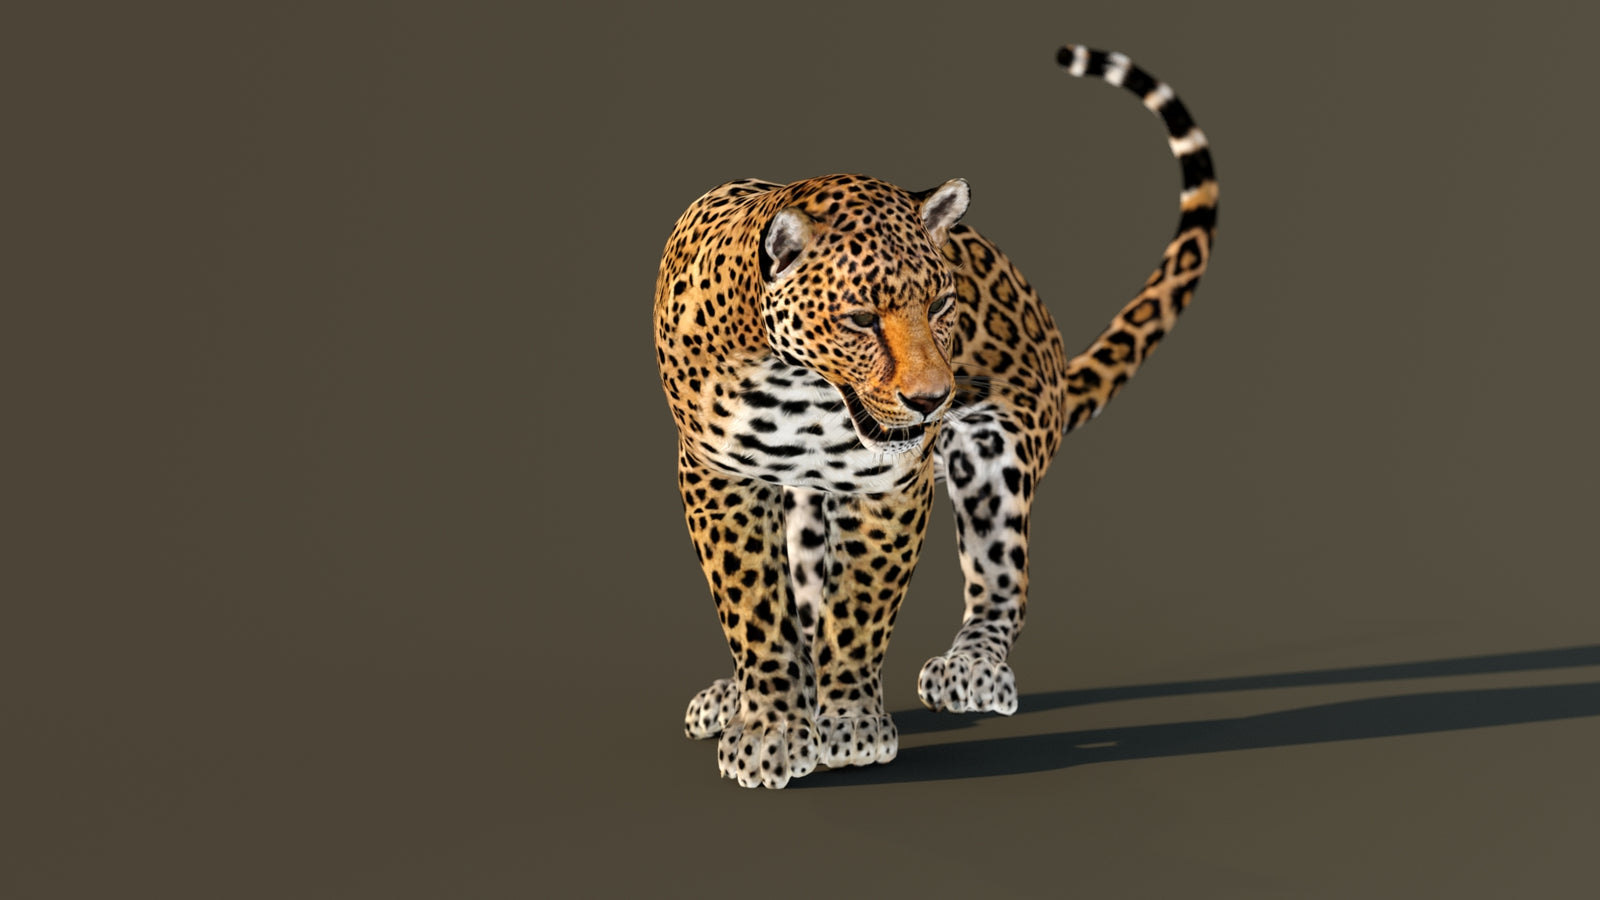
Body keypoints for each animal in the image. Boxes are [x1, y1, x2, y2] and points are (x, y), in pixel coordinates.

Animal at [653, 45, 1218, 788]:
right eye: (861, 318)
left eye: (944, 304)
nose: (933, 399)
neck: (797, 387)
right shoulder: (719, 475)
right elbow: (754, 606)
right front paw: (771, 727)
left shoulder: (891, 485)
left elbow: (859, 608)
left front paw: (849, 725)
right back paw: (736, 695)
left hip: (996, 457)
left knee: (1003, 579)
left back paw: (972, 668)